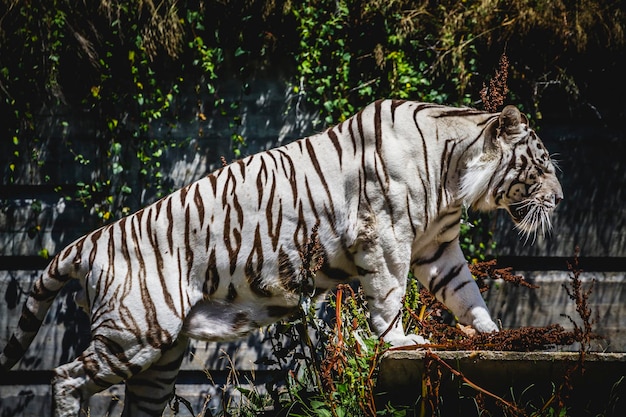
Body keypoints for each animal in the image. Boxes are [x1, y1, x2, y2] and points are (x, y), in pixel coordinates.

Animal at [0, 99, 564, 414]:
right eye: (540, 167)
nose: (559, 199)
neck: (453, 175)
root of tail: (89, 240)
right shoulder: (385, 237)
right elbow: (387, 295)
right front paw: (399, 341)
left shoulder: (436, 247)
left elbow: (466, 293)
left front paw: (491, 335)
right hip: (135, 333)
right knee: (65, 377)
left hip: (160, 360)